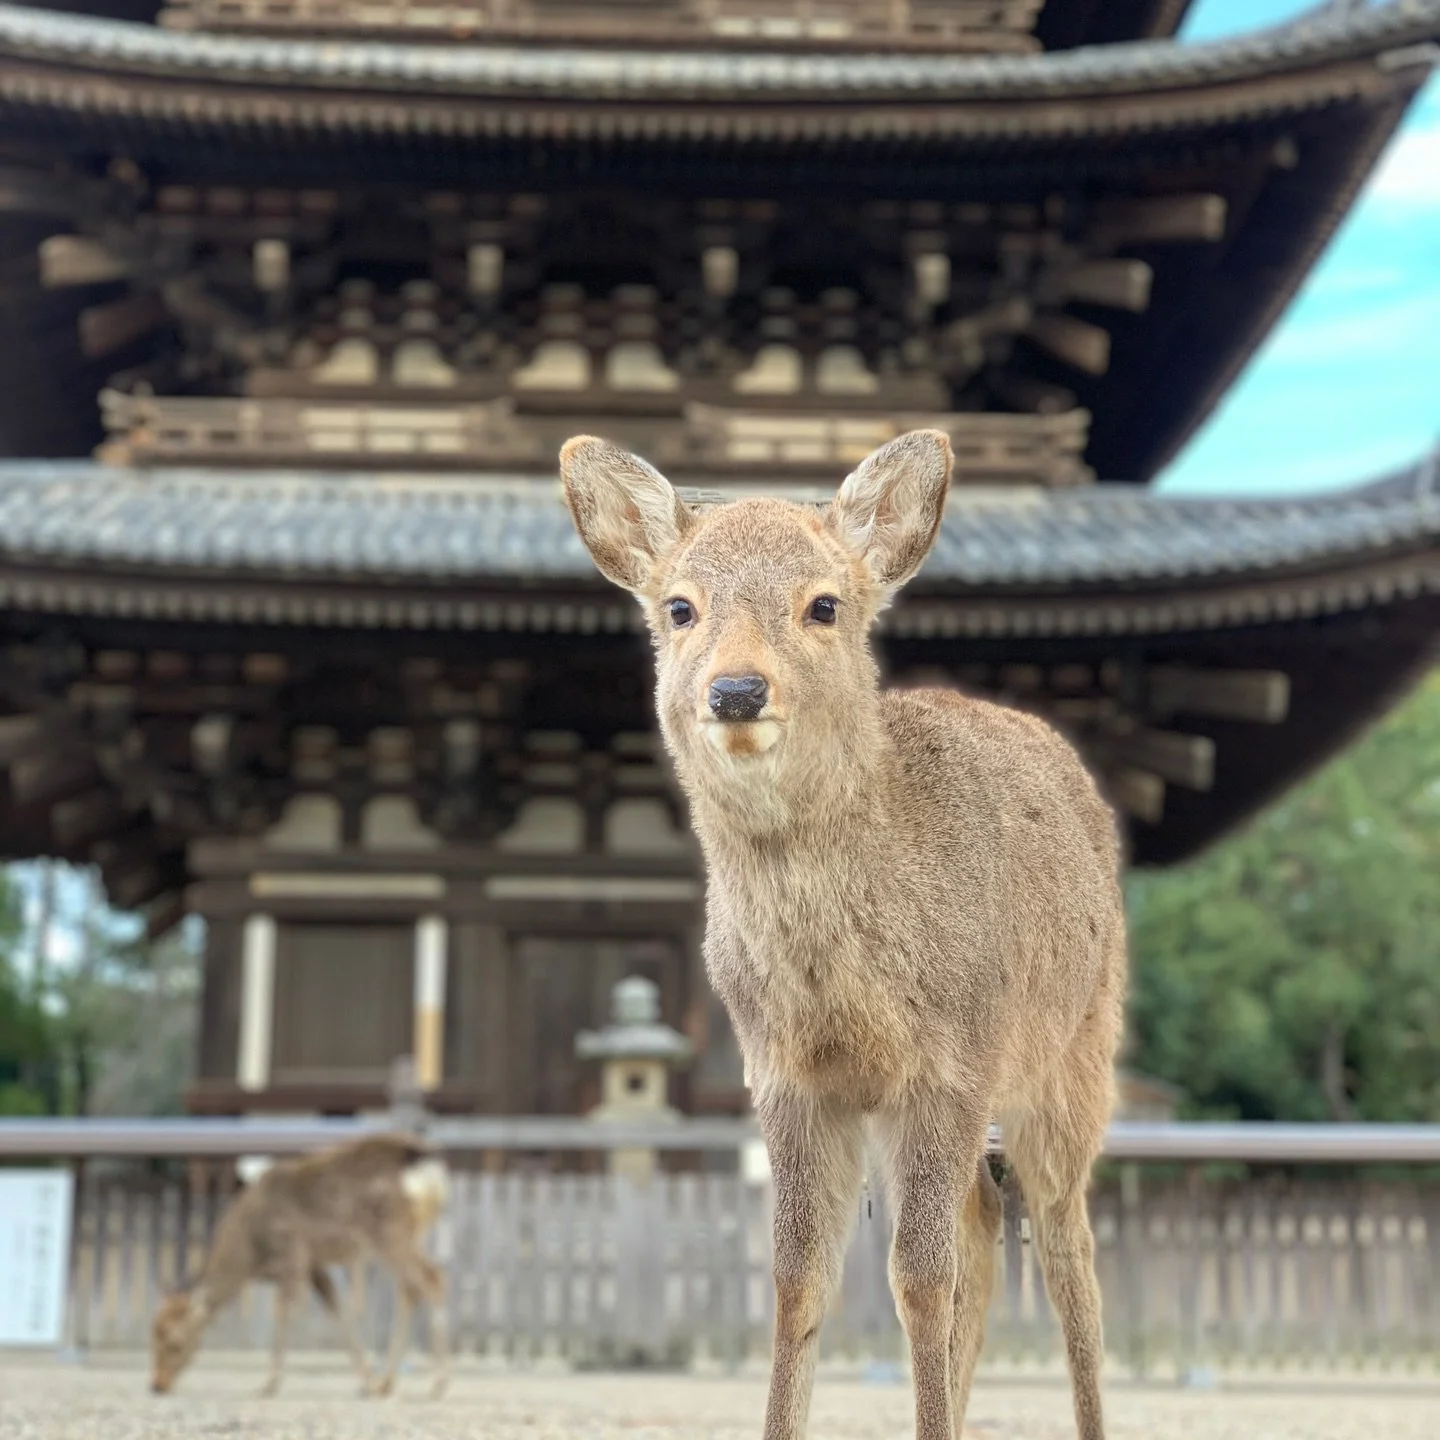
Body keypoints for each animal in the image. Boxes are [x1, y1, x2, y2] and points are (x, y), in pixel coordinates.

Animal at [150, 1132, 451, 1400]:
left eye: (175, 1343)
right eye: (153, 1336)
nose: (157, 1385)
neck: (251, 1254)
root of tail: (427, 1165)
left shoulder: (292, 1253)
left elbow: (284, 1312)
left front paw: (269, 1384)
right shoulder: (315, 1267)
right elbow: (338, 1311)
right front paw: (367, 1383)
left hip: (389, 1230)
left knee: (432, 1277)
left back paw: (438, 1384)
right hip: (410, 1232)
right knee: (411, 1288)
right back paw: (388, 1383)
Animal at [560, 429, 1125, 1440]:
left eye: (824, 604)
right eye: (679, 606)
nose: (737, 690)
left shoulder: (951, 1058)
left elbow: (918, 1278)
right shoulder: (783, 1073)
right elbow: (797, 1277)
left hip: (1076, 1054)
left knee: (1066, 1245)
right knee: (987, 1224)